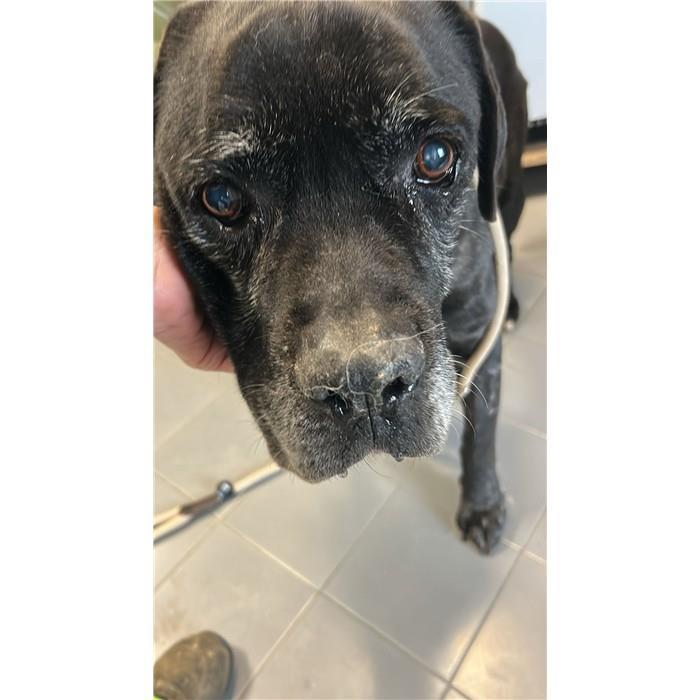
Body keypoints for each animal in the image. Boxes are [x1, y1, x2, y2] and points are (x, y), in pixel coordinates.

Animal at [154, 1, 528, 553]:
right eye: (221, 198)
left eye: (435, 158)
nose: (364, 383)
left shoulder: (480, 334)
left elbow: (482, 431)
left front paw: (482, 504)